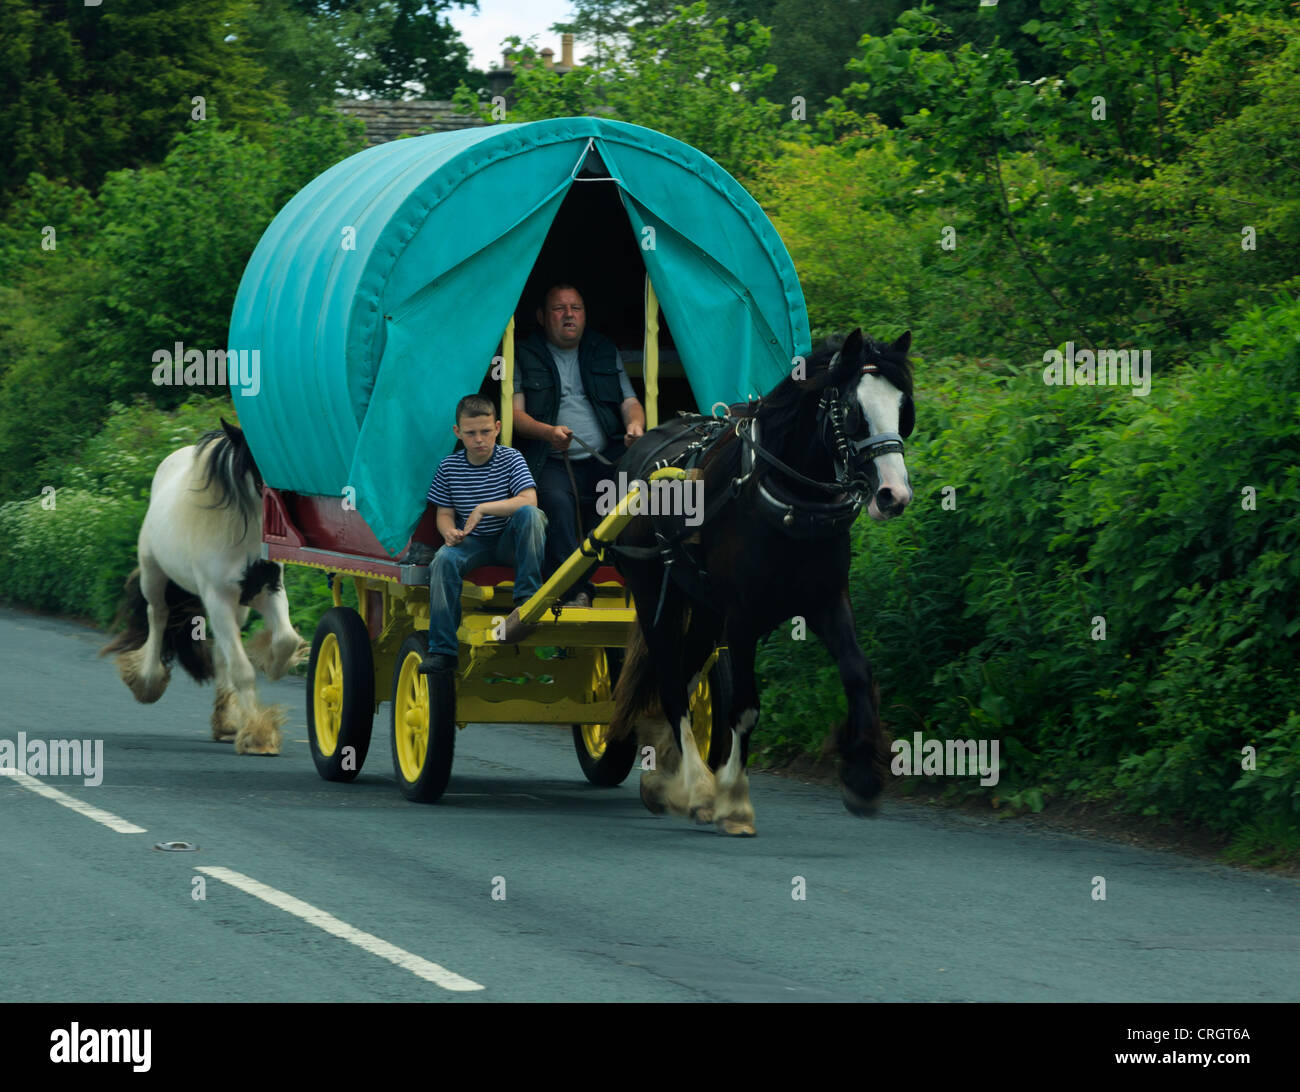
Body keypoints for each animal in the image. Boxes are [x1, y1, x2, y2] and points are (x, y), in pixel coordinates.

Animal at [102, 421, 305, 754]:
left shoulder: (268, 589)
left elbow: (286, 639)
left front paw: (275, 666)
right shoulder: (217, 597)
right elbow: (242, 669)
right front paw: (258, 735)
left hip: (237, 605)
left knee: (222, 651)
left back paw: (226, 721)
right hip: (154, 577)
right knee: (158, 616)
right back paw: (148, 682)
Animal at [608, 328, 915, 832]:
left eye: (903, 409)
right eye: (853, 411)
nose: (895, 495)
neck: (788, 504)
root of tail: (639, 449)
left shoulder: (827, 600)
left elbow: (857, 672)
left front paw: (862, 778)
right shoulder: (743, 616)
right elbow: (746, 707)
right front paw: (733, 800)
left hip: (704, 608)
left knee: (685, 676)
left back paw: (666, 776)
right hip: (656, 596)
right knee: (672, 683)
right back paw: (696, 786)